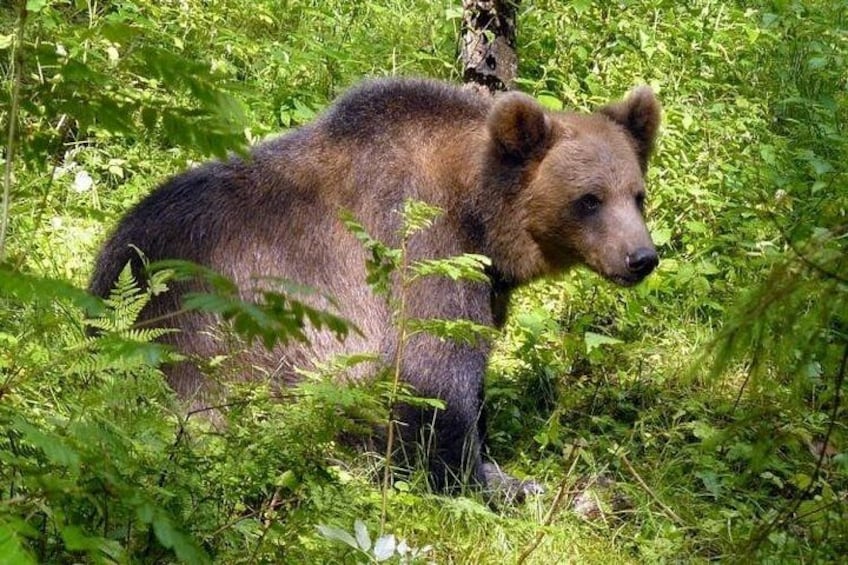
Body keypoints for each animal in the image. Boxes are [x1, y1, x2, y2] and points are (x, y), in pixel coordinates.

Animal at [89, 78, 660, 497]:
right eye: (589, 199)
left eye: (637, 195)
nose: (641, 258)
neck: (479, 213)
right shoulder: (422, 247)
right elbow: (433, 372)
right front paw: (489, 481)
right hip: (214, 332)